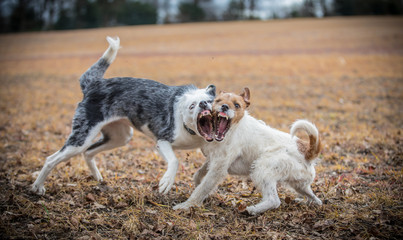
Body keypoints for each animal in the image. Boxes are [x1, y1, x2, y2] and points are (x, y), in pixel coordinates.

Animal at [32, 37, 216, 195]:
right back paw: (37, 187)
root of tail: (93, 84)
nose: (203, 104)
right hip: (81, 137)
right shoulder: (162, 140)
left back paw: (98, 178)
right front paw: (166, 182)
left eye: (210, 101)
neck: (189, 129)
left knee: (88, 152)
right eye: (192, 106)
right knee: (51, 159)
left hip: (119, 136)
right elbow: (175, 161)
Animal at [175, 88, 324, 216]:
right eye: (218, 101)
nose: (224, 107)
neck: (232, 130)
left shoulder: (218, 168)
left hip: (261, 169)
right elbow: (198, 176)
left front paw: (187, 205)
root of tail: (307, 152)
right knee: (316, 199)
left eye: (236, 105)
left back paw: (252, 210)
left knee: (274, 200)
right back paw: (306, 202)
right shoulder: (212, 161)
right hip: (300, 185)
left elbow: (202, 188)